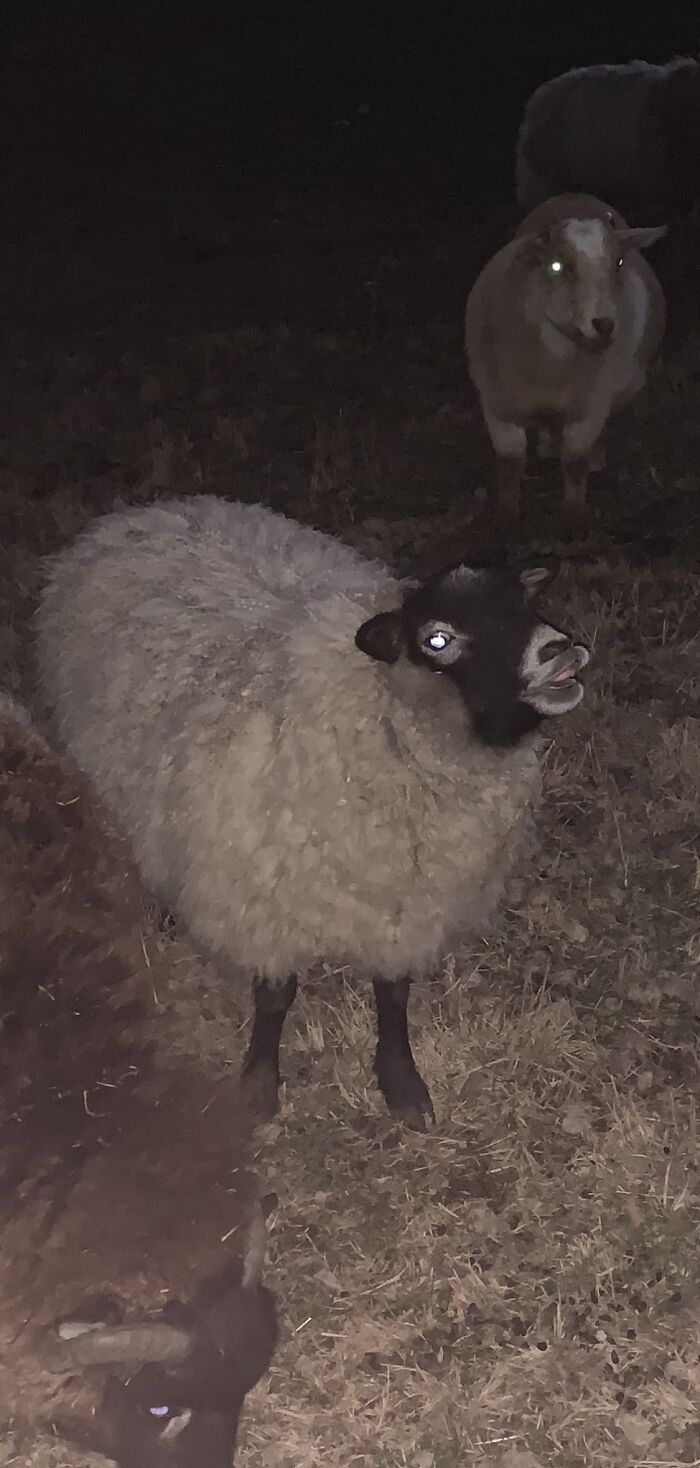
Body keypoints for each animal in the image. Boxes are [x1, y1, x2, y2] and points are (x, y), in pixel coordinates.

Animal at [35, 496, 590, 1131]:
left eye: (525, 600)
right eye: (438, 640)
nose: (559, 649)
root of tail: (152, 510)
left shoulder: (409, 899)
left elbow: (393, 993)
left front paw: (401, 1082)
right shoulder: (266, 894)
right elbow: (276, 997)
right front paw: (258, 1085)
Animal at [465, 195, 666, 535]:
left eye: (619, 262)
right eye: (557, 266)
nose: (604, 325)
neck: (551, 369)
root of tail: (576, 195)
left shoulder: (590, 407)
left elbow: (575, 462)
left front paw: (572, 520)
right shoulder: (498, 406)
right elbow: (509, 464)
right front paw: (506, 518)